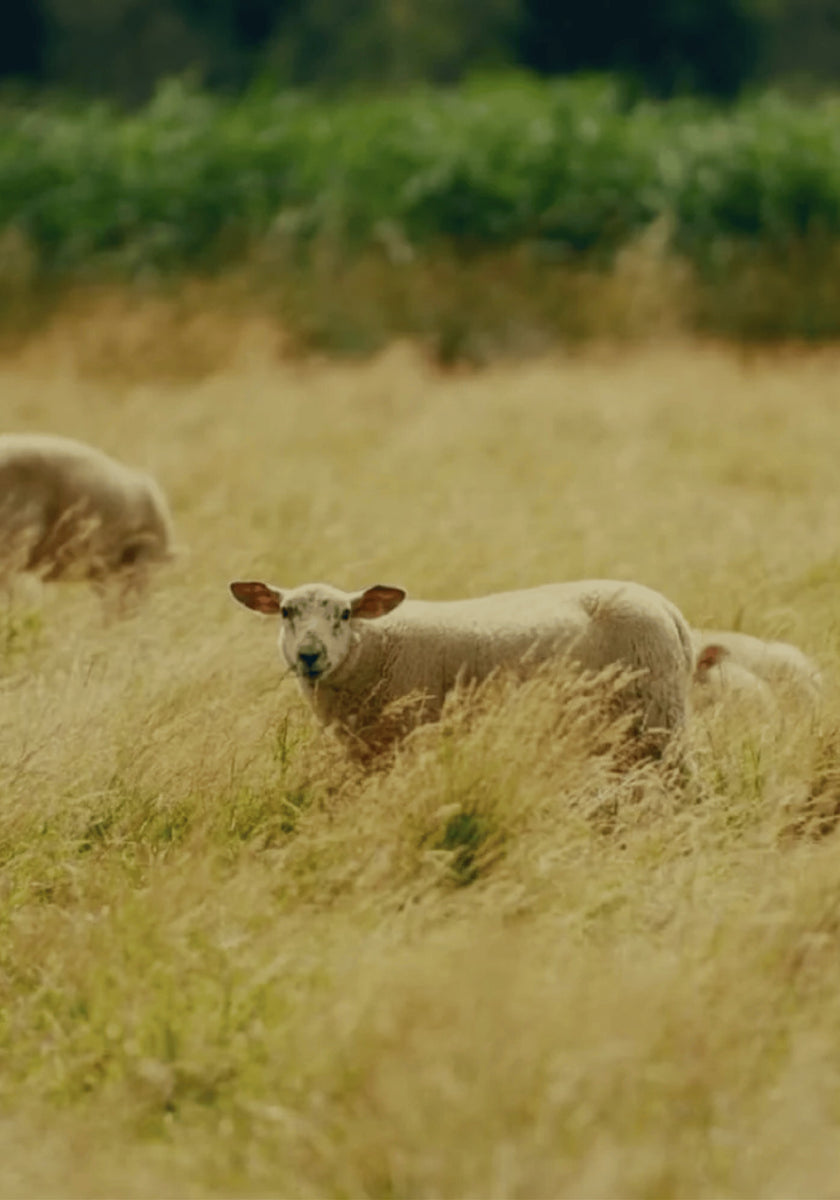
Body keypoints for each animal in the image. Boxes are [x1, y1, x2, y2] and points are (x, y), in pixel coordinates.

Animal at [229, 577, 694, 759]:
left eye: (344, 615)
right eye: (285, 612)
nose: (309, 654)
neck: (373, 646)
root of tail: (669, 609)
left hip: (657, 717)